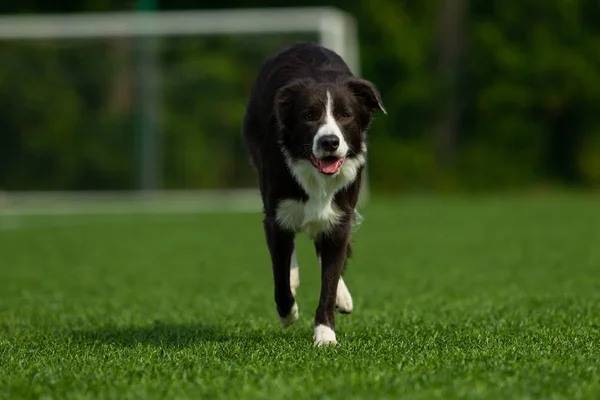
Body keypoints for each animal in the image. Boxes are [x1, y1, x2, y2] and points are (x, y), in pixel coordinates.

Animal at [243, 42, 386, 346]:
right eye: (309, 116)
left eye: (345, 115)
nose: (330, 142)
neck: (316, 175)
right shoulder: (277, 216)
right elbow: (280, 273)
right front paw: (288, 313)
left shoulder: (340, 217)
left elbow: (329, 278)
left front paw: (325, 335)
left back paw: (342, 296)